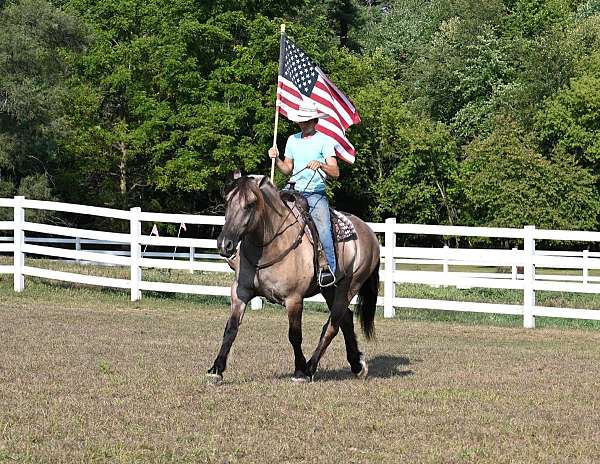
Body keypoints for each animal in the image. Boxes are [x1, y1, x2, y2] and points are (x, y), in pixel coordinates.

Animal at [207, 174, 380, 384]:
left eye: (251, 204)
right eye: (227, 201)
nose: (225, 244)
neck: (270, 245)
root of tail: (369, 233)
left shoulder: (294, 299)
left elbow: (295, 335)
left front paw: (298, 371)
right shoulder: (240, 293)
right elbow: (231, 329)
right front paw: (216, 369)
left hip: (348, 288)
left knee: (332, 326)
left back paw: (310, 367)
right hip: (330, 289)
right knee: (345, 319)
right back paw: (356, 365)